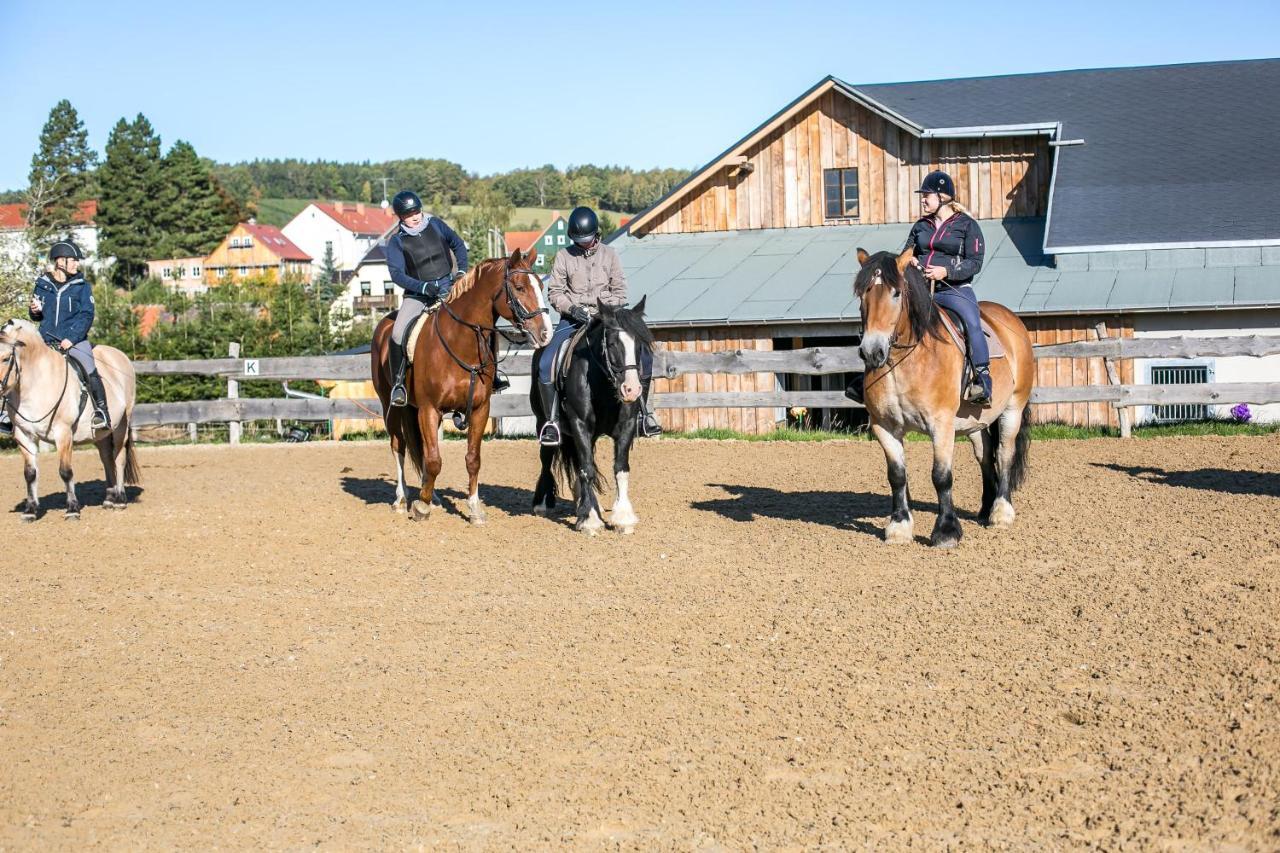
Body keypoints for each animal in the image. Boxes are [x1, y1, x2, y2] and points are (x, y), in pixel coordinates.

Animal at [0, 318, 140, 517]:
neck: (36, 382)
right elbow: (30, 473)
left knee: (119, 458)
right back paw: (109, 498)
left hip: (121, 425)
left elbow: (65, 471)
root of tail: (120, 355)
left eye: (5, 358)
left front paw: (72, 509)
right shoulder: (23, 435)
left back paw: (120, 499)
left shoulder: (63, 433)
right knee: (106, 458)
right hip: (100, 433)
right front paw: (30, 510)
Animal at [368, 249, 552, 522]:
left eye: (540, 286)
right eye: (519, 287)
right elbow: (434, 460)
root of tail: (385, 323)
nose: (546, 333)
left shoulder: (479, 409)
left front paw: (474, 509)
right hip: (391, 407)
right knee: (398, 446)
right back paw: (402, 500)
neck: (460, 341)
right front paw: (420, 508)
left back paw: (431, 496)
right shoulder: (429, 409)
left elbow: (472, 459)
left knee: (423, 451)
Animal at [527, 294, 650, 532]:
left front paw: (622, 518)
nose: (631, 390)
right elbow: (586, 469)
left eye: (640, 345)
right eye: (611, 343)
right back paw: (543, 504)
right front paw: (590, 520)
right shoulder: (580, 424)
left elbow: (620, 469)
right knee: (547, 458)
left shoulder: (627, 425)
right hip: (543, 423)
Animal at [855, 245, 1034, 548]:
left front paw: (946, 531)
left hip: (1013, 409)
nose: (872, 351)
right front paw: (899, 527)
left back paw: (1001, 513)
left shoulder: (941, 425)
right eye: (862, 293)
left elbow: (941, 476)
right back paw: (985, 510)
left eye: (896, 293)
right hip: (976, 421)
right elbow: (897, 475)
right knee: (985, 457)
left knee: (1004, 454)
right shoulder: (884, 426)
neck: (906, 362)